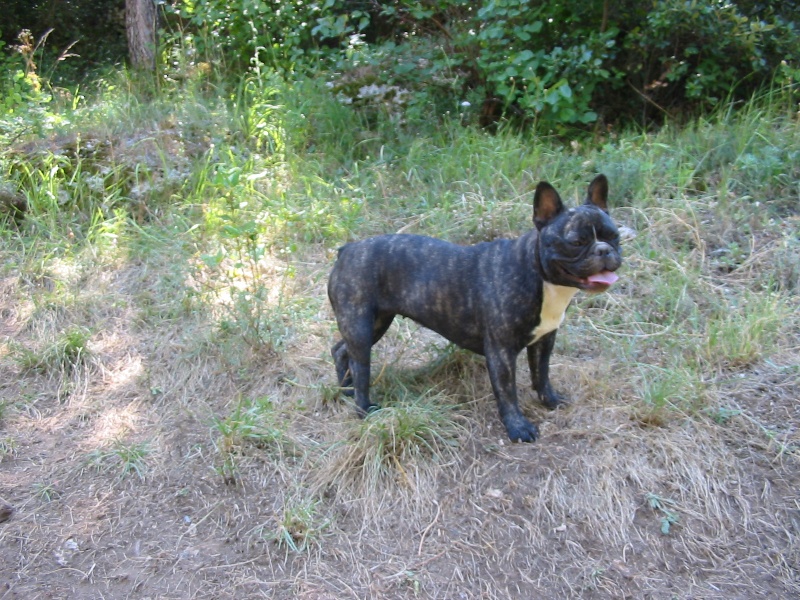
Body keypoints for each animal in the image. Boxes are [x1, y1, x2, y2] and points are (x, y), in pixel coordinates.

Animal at [328, 173, 620, 440]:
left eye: (614, 236)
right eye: (576, 242)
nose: (604, 249)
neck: (537, 273)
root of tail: (347, 250)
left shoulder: (544, 340)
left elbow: (542, 374)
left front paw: (550, 400)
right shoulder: (501, 351)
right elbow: (507, 391)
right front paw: (518, 427)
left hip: (377, 322)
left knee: (341, 351)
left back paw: (345, 389)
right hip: (361, 325)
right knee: (360, 365)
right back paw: (364, 408)